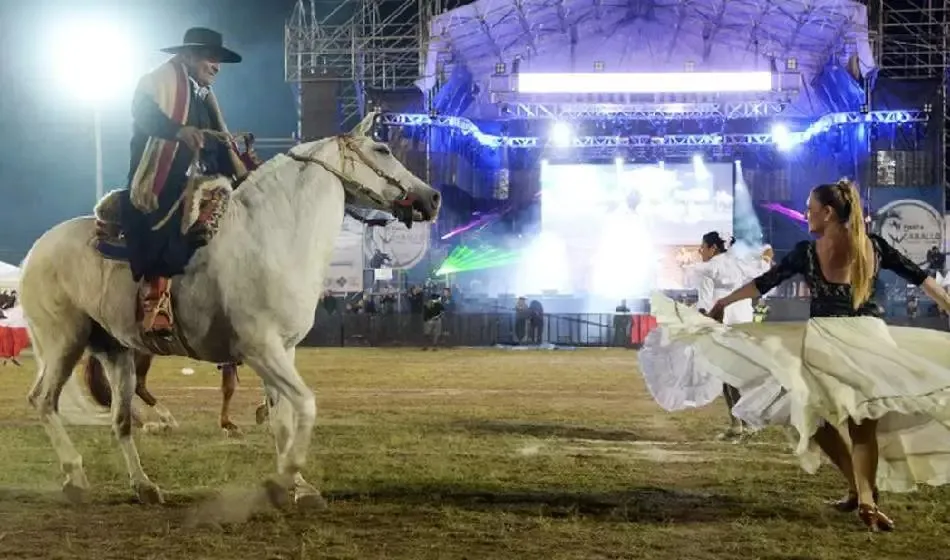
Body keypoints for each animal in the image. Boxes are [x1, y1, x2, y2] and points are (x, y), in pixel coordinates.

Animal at [19, 134, 440, 507]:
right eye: (382, 149)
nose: (432, 197)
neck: (272, 238)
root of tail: (36, 251)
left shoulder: (283, 351)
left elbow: (282, 421)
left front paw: (299, 487)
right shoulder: (261, 350)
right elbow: (306, 405)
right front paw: (283, 481)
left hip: (116, 352)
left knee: (120, 420)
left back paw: (145, 486)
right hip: (64, 342)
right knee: (43, 400)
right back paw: (75, 477)